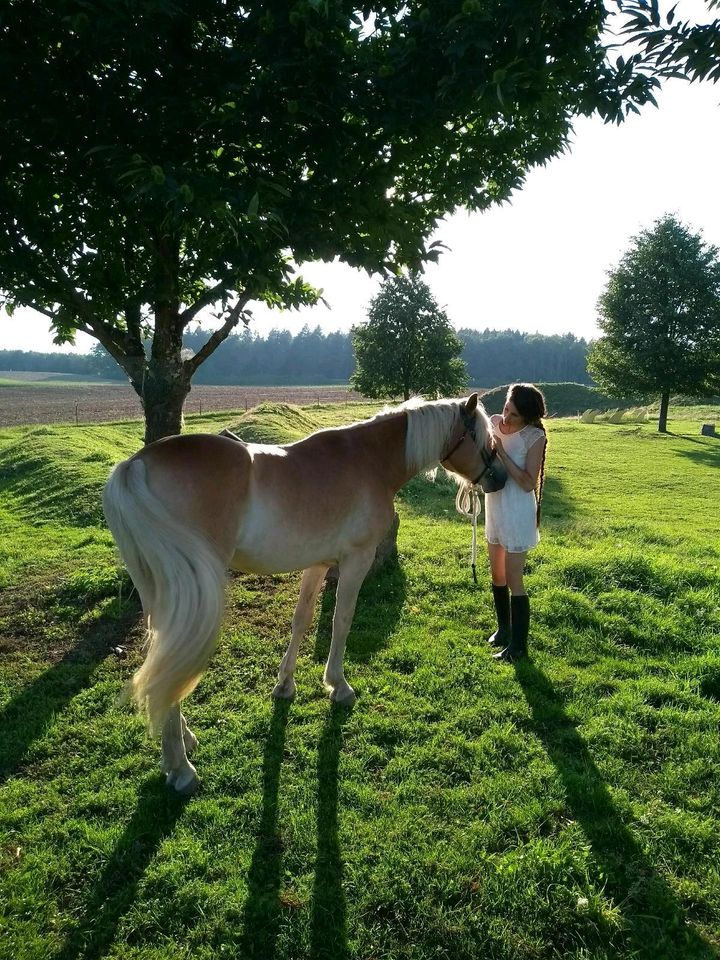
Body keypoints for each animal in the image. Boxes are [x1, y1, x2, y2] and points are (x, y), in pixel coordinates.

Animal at [102, 390, 496, 796]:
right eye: (485, 440)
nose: (496, 479)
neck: (369, 459)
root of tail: (135, 466)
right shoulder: (356, 561)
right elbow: (341, 621)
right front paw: (338, 685)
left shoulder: (317, 565)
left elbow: (301, 620)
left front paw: (285, 684)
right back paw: (181, 767)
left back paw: (183, 744)